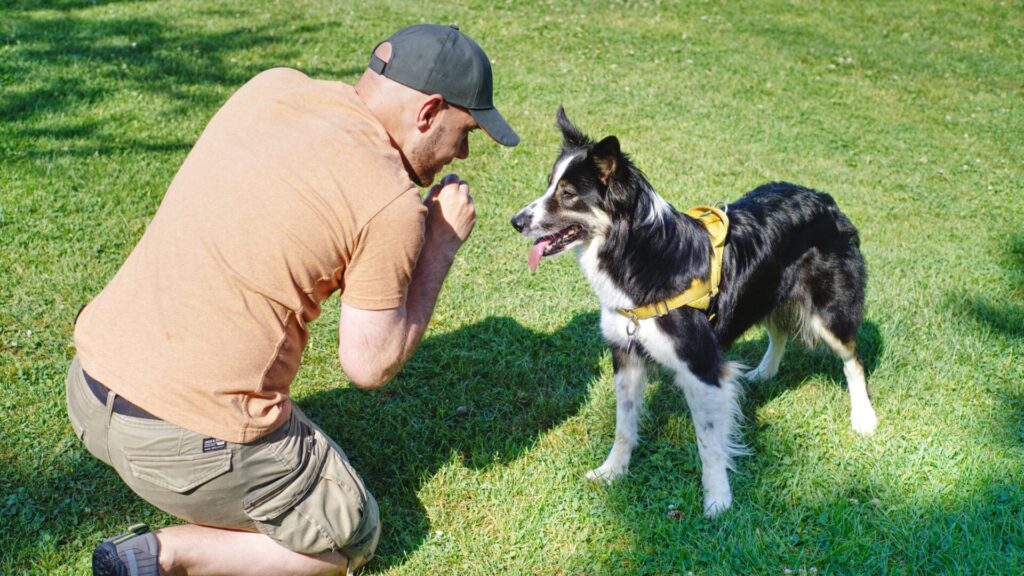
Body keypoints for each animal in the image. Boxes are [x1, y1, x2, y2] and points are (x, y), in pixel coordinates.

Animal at [512, 107, 880, 516]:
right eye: (549, 186)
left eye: (568, 194)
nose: (516, 222)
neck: (636, 252)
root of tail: (825, 198)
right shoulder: (626, 354)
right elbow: (623, 426)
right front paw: (612, 472)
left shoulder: (701, 366)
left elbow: (708, 443)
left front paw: (718, 499)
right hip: (766, 291)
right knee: (779, 330)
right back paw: (763, 373)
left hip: (829, 311)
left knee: (852, 358)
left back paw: (863, 417)